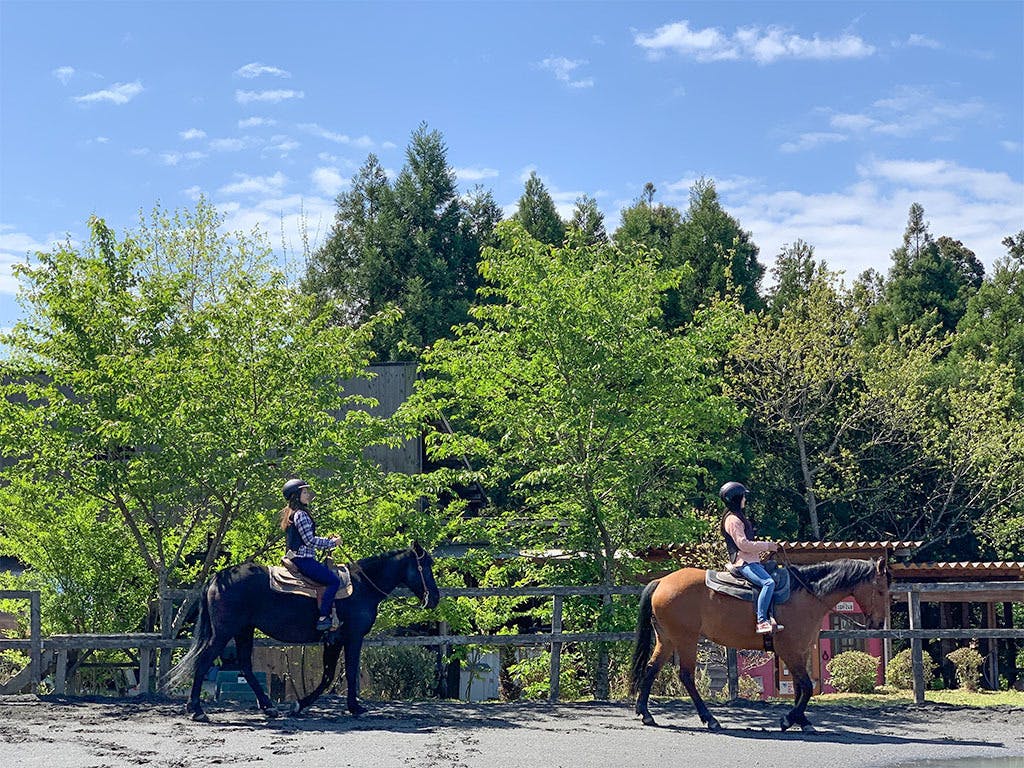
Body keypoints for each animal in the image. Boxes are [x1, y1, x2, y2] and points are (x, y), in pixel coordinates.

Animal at [168, 540, 440, 720]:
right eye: (426, 566)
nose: (434, 598)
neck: (362, 586)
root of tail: (218, 577)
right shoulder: (352, 638)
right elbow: (349, 671)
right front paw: (355, 707)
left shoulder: (333, 640)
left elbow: (328, 676)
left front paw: (299, 705)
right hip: (225, 632)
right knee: (204, 661)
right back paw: (196, 710)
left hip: (244, 630)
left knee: (244, 664)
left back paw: (268, 707)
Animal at [626, 561, 884, 733]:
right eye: (881, 590)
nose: (878, 623)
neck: (804, 596)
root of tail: (661, 582)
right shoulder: (790, 651)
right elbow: (808, 687)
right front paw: (789, 719)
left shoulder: (798, 653)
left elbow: (800, 688)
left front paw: (802, 721)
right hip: (686, 639)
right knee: (686, 676)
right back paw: (710, 719)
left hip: (667, 639)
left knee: (651, 669)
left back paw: (646, 714)